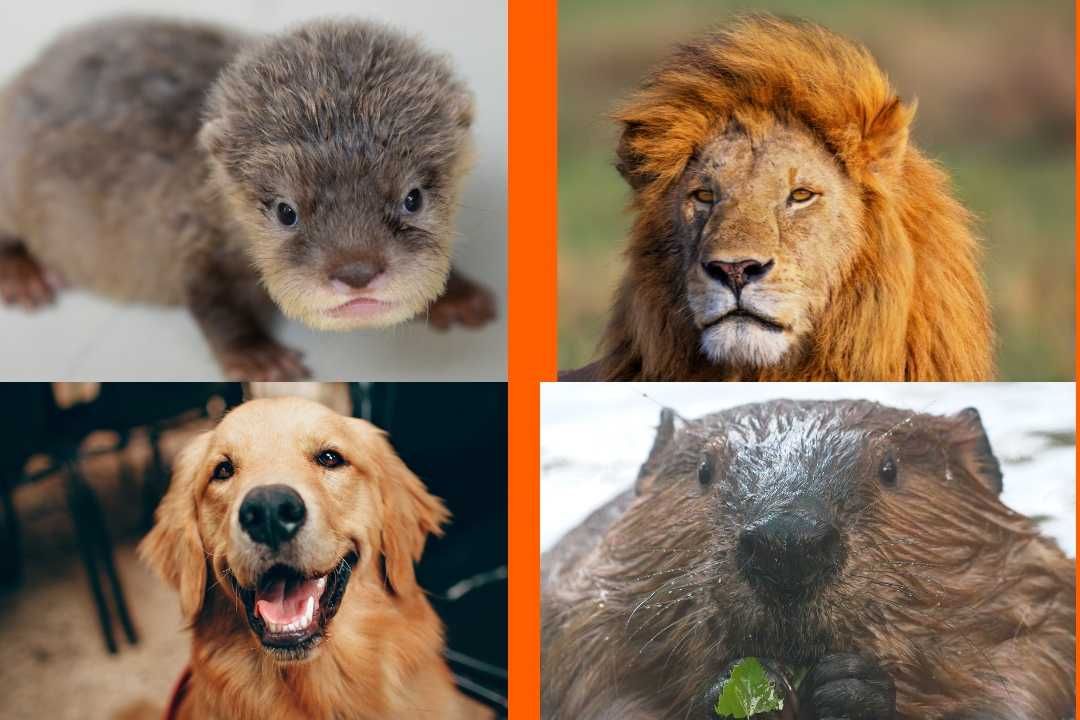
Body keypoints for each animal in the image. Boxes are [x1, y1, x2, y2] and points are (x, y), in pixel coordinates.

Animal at [0, 17, 495, 379]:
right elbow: (211, 301)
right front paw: (257, 356)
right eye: (286, 212)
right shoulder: (189, 231)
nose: (356, 272)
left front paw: (457, 294)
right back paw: (23, 272)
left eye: (413, 198)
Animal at [541, 401, 1075, 719]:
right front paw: (754, 688)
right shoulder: (582, 619)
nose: (788, 543)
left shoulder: (1041, 627)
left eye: (890, 469)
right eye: (703, 471)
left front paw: (849, 688)